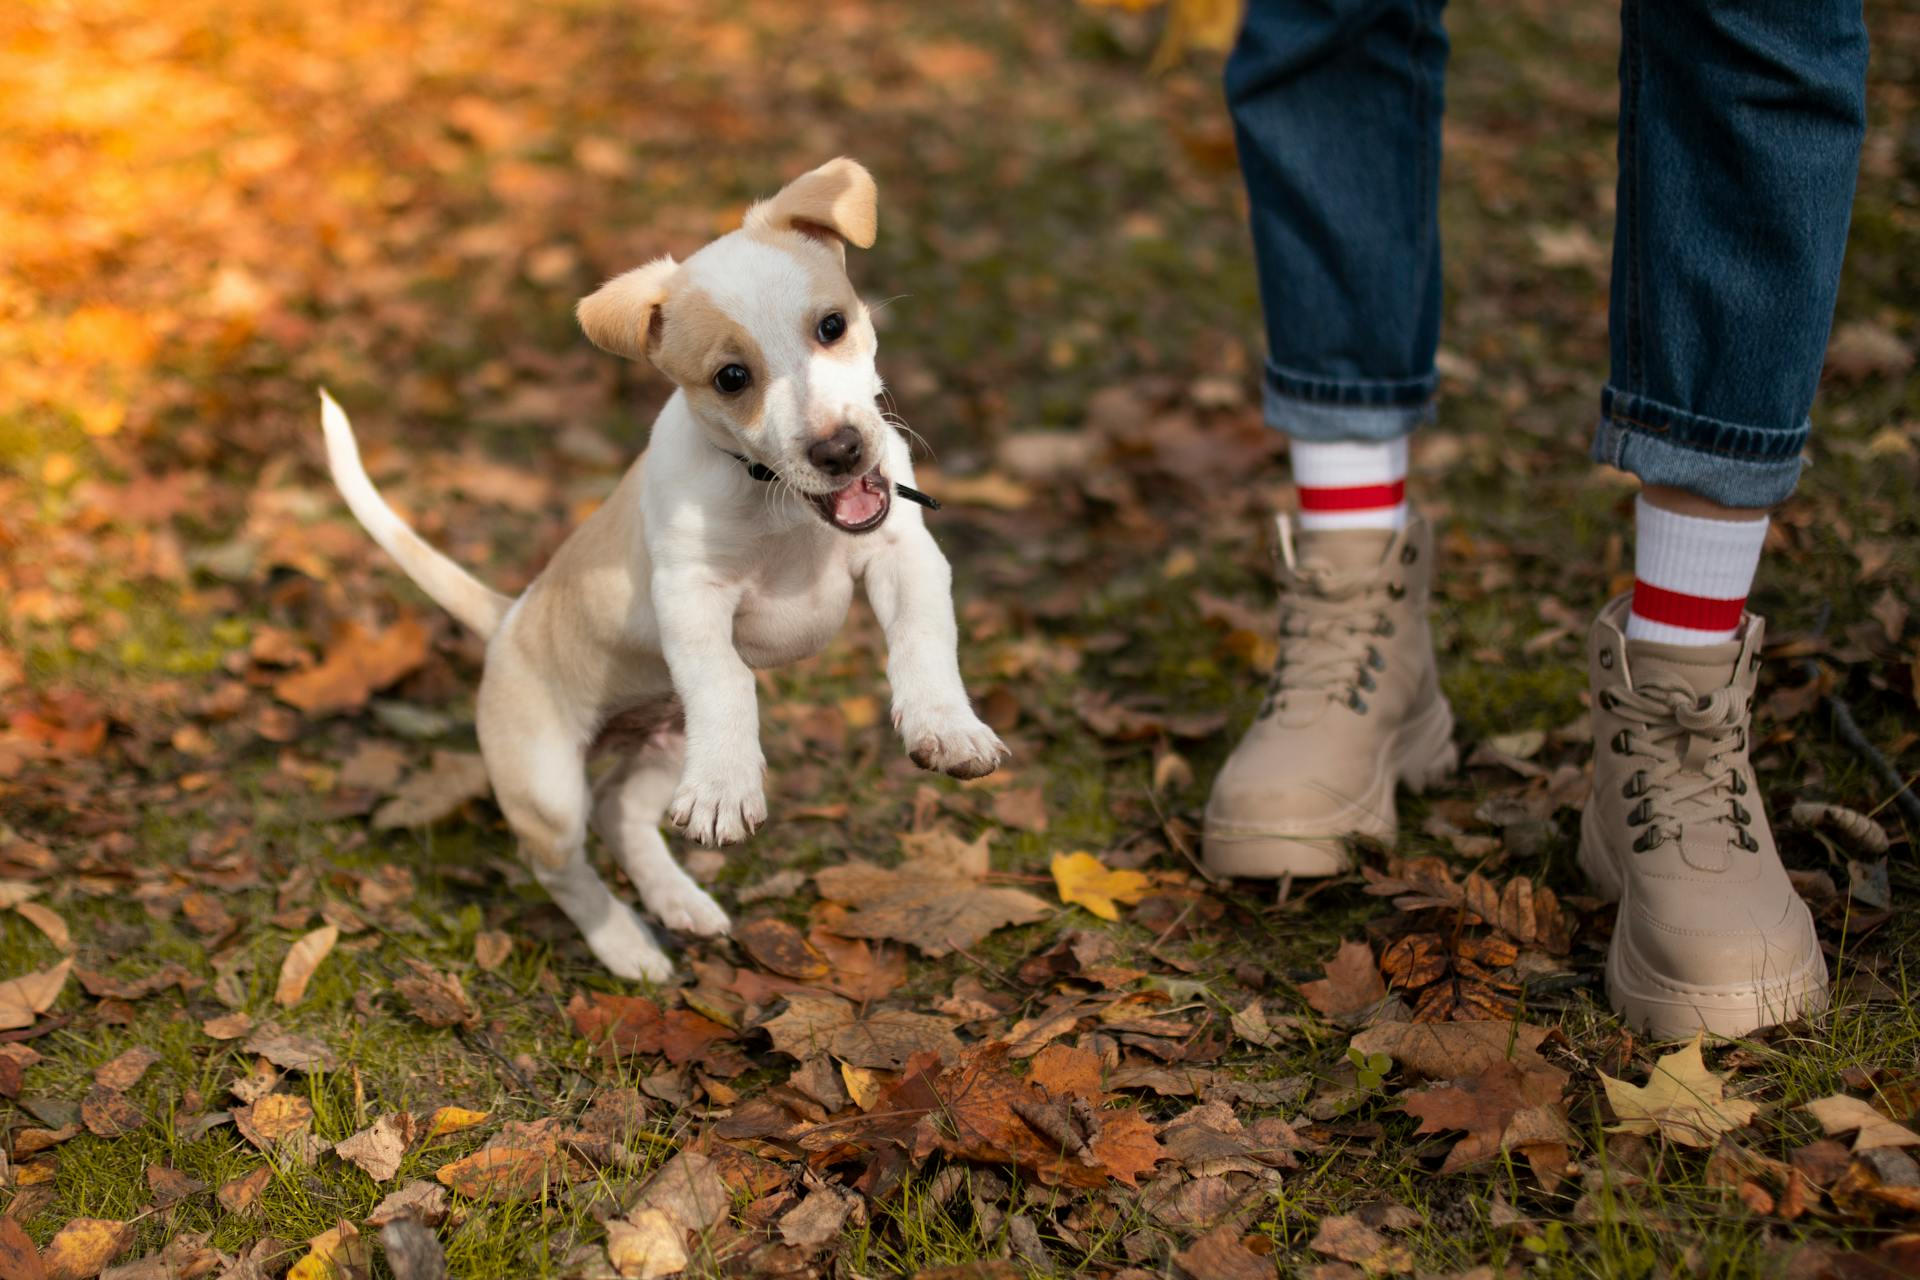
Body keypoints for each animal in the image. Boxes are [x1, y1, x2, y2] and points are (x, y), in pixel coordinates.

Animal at [318, 160, 1006, 982]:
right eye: (732, 377)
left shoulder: (904, 553)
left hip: (665, 741)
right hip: (548, 786)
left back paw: (680, 901)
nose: (840, 452)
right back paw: (627, 945)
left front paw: (948, 728)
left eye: (831, 327)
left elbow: (923, 642)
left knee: (621, 812)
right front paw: (725, 795)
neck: (773, 499)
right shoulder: (691, 596)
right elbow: (728, 679)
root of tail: (507, 616)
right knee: (562, 864)